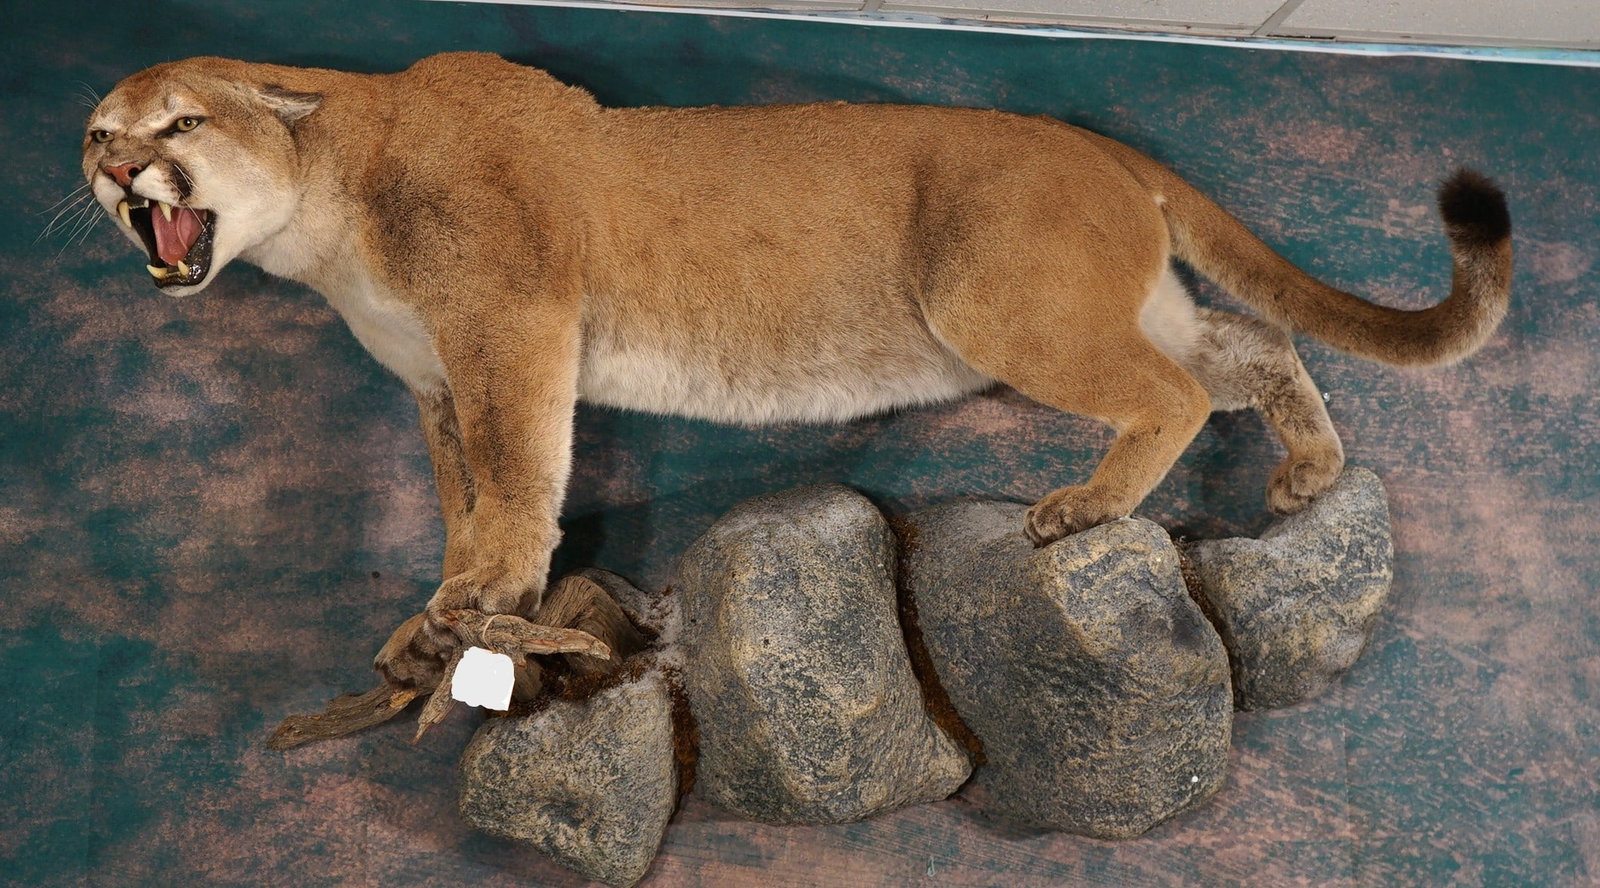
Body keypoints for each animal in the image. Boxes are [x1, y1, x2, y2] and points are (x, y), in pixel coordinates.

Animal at [81, 52, 1512, 692]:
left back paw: (1087, 508)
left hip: (999, 303)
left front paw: (487, 599)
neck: (322, 220)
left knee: (1173, 394)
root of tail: (1099, 143)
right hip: (1125, 302)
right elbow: (461, 491)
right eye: (100, 129)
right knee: (1249, 347)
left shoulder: (512, 326)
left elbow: (517, 473)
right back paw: (1310, 468)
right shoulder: (435, 379)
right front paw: (440, 619)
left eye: (182, 120)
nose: (116, 169)